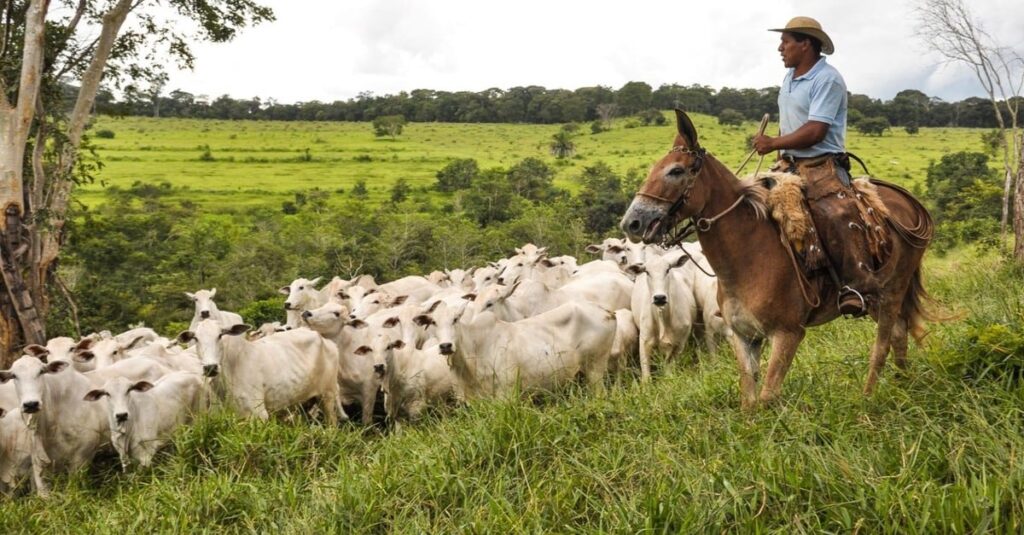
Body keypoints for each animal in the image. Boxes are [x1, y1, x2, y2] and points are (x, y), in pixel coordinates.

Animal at [180, 317, 344, 422]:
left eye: (220, 335)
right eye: (195, 338)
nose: (210, 367)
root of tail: (328, 342)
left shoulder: (259, 415)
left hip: (327, 395)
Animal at [626, 248, 700, 381]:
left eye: (667, 270)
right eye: (647, 272)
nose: (659, 298)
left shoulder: (680, 343)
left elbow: (669, 369)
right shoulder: (644, 342)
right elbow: (646, 376)